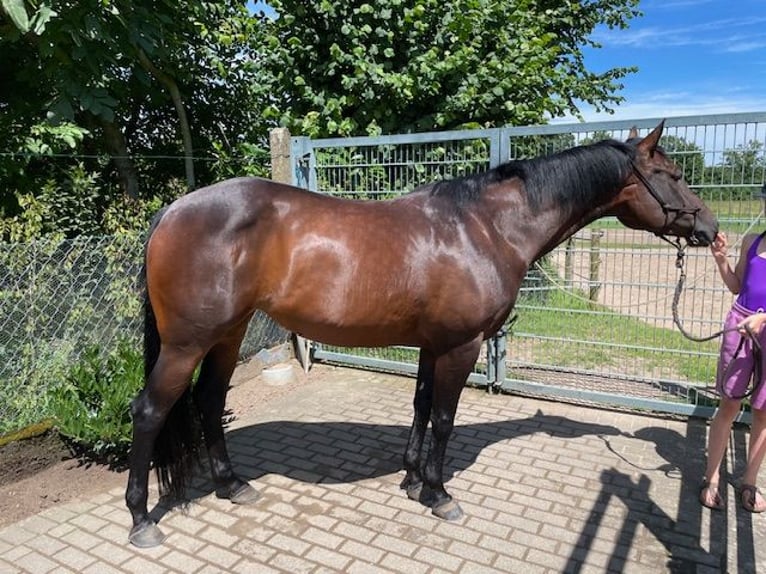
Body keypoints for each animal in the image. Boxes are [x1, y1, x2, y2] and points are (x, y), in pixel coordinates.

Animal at [125, 121, 718, 547]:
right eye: (673, 174)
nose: (709, 229)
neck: (484, 228)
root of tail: (172, 211)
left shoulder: (434, 344)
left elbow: (421, 404)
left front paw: (411, 479)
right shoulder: (462, 345)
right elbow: (445, 416)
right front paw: (438, 493)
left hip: (227, 336)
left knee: (208, 402)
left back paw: (232, 486)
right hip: (186, 344)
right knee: (151, 411)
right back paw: (141, 519)